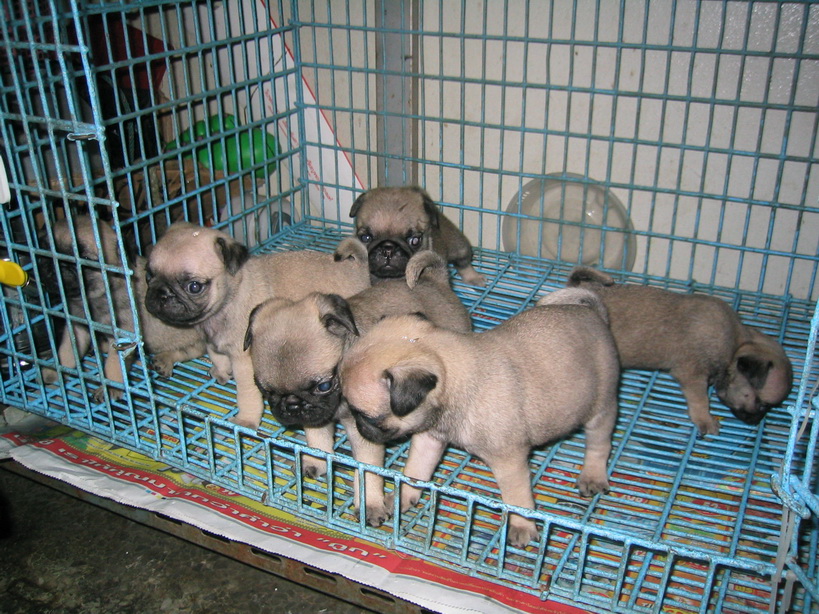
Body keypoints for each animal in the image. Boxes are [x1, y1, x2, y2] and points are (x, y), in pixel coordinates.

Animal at [144, 222, 370, 429]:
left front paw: (245, 420)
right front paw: (221, 371)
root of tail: (358, 268)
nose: (162, 293)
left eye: (194, 286)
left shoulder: (243, 362)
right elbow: (217, 356)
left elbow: (247, 395)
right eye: (148, 275)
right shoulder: (211, 340)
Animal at [243, 250, 471, 526]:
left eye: (324, 385)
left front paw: (369, 505)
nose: (292, 405)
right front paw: (316, 460)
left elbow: (366, 471)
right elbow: (318, 440)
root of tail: (437, 282)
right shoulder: (317, 418)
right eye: (266, 391)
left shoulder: (363, 431)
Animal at [339, 294, 618, 547]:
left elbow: (517, 499)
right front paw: (404, 495)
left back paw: (592, 475)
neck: (456, 378)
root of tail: (594, 315)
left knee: (600, 444)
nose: (358, 428)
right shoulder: (429, 439)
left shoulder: (509, 462)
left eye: (364, 415)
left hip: (601, 409)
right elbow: (415, 472)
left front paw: (522, 526)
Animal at [350, 186, 485, 286]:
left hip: (458, 246)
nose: (388, 249)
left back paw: (474, 277)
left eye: (415, 241)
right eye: (365, 238)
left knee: (463, 262)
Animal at [567, 266, 793, 435]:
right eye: (763, 406)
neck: (737, 342)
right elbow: (700, 401)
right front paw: (705, 419)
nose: (756, 421)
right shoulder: (693, 376)